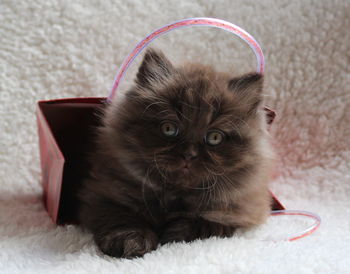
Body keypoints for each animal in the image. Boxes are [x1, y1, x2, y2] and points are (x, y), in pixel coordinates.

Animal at [78, 48, 274, 260]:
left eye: (214, 137)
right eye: (169, 129)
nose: (189, 155)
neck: (174, 196)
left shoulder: (236, 212)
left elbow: (203, 224)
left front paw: (172, 234)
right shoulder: (104, 195)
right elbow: (123, 219)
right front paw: (131, 242)